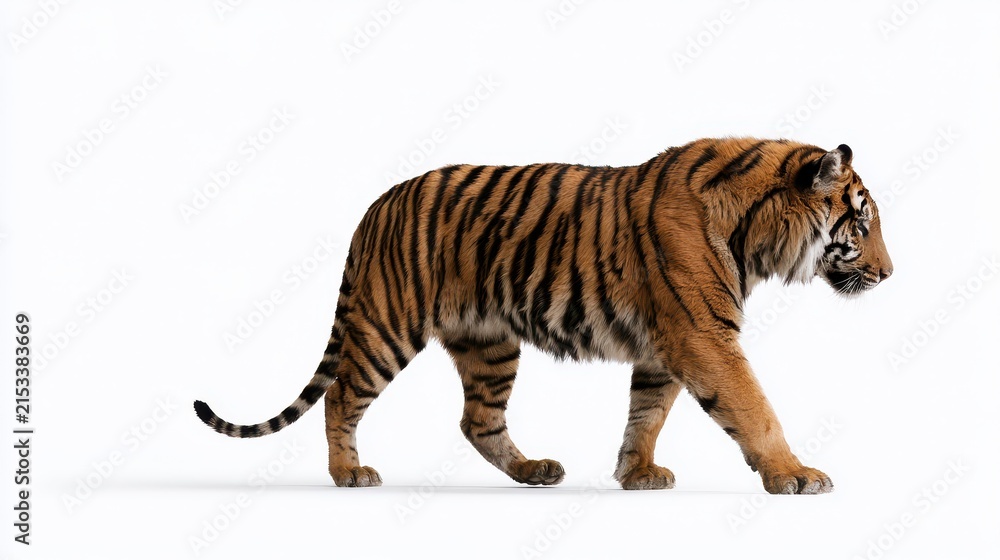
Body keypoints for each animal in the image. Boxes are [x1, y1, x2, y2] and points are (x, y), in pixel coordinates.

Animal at [194, 137, 892, 494]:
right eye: (861, 224)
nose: (889, 275)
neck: (758, 234)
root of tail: (376, 204)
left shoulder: (665, 345)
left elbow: (647, 414)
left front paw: (635, 473)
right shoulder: (702, 335)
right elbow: (754, 408)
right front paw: (795, 474)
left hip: (489, 344)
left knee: (477, 421)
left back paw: (533, 471)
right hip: (388, 325)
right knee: (342, 396)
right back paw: (348, 473)